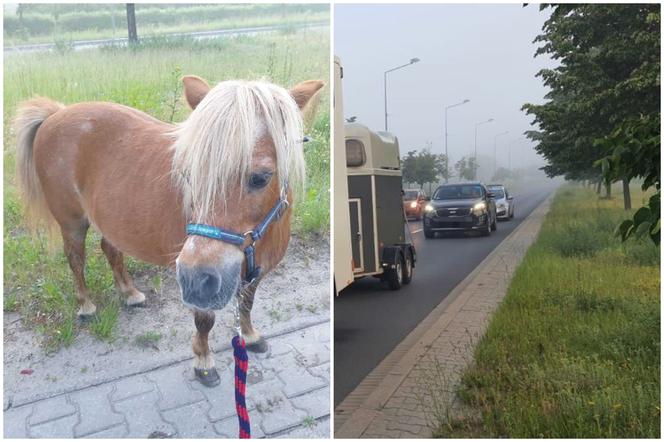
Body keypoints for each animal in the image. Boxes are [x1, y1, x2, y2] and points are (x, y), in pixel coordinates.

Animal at [14, 76, 326, 386]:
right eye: (188, 174)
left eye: (261, 177)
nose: (196, 277)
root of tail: (56, 113)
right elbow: (205, 322)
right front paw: (203, 361)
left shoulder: (254, 274)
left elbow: (247, 304)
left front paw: (249, 336)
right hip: (73, 222)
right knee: (76, 260)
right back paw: (86, 305)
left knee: (111, 250)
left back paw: (129, 293)